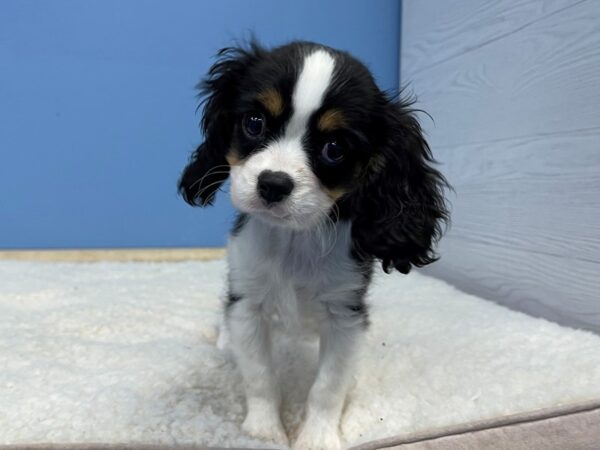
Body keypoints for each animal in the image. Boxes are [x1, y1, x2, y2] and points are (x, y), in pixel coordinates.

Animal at [179, 40, 450, 448]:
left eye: (334, 148)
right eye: (254, 123)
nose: (273, 183)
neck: (296, 238)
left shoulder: (344, 314)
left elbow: (328, 386)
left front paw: (317, 436)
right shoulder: (249, 303)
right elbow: (259, 374)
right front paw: (263, 431)